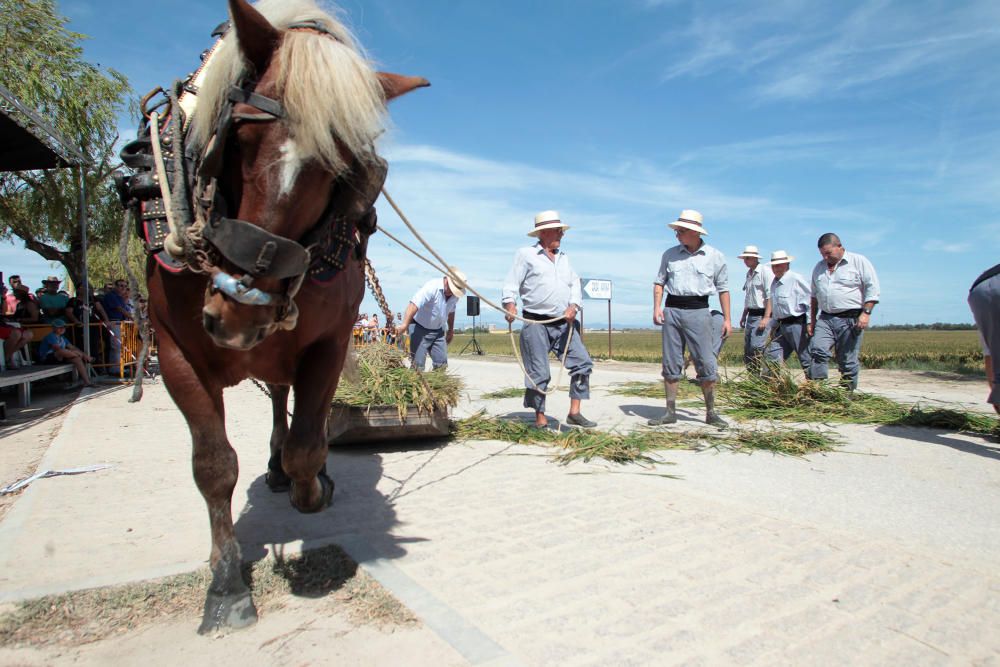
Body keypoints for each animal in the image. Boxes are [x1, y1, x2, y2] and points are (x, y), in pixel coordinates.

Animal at [124, 0, 426, 636]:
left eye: (348, 167)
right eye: (238, 134)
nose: (239, 306)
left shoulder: (330, 343)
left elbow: (308, 444)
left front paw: (313, 487)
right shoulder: (175, 351)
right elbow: (213, 466)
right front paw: (225, 584)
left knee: (286, 403)